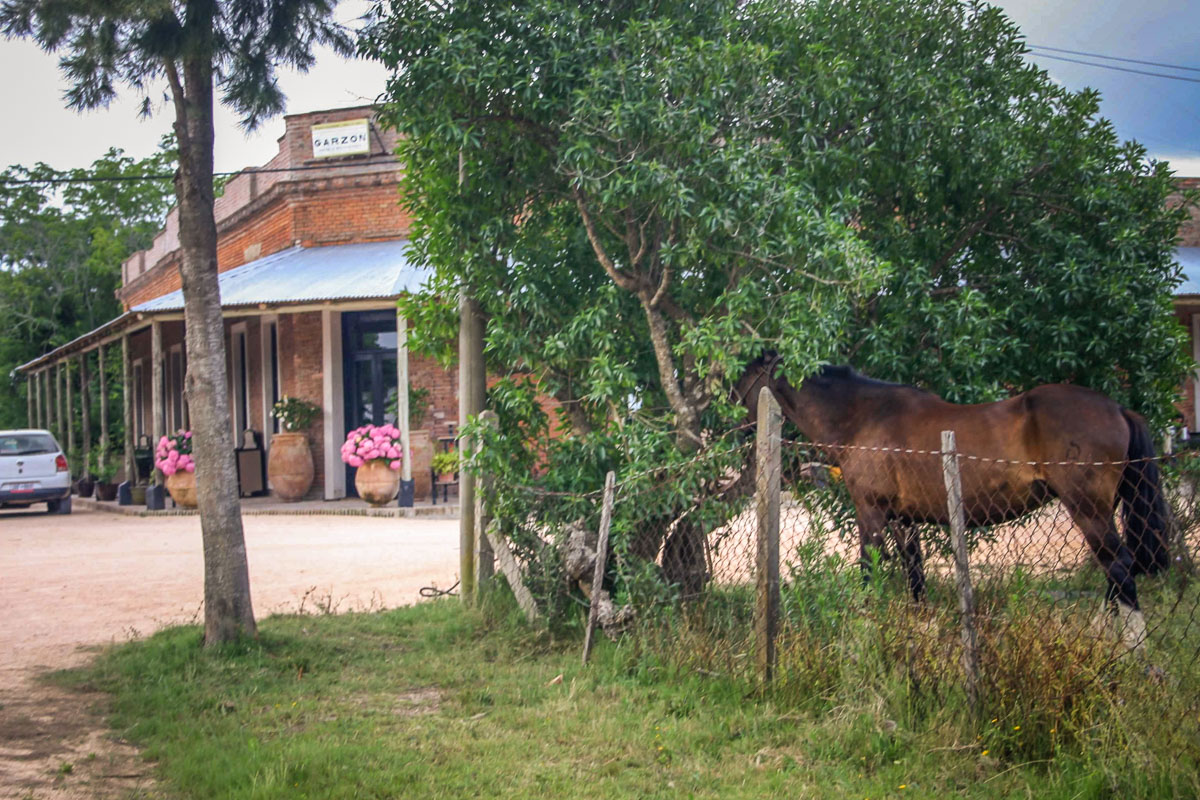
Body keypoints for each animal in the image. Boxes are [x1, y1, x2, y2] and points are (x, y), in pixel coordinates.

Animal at [734, 357, 1166, 633]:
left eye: (745, 378)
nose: (734, 422)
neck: (864, 417)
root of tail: (1119, 409)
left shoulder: (870, 513)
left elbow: (869, 570)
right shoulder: (903, 520)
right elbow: (915, 575)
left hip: (1088, 510)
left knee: (1120, 567)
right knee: (1115, 574)